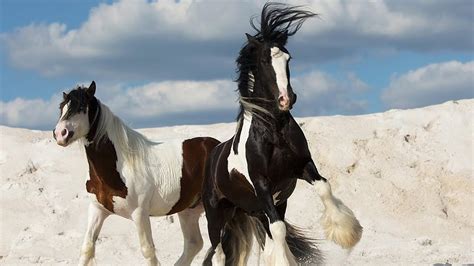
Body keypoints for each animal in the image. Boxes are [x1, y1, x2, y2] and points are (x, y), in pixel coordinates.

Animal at [53, 81, 220, 266]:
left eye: (82, 107)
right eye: (61, 107)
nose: (60, 134)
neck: (120, 166)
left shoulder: (140, 214)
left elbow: (148, 251)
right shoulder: (97, 210)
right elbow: (87, 248)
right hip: (189, 211)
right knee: (194, 244)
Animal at [202, 3, 362, 264]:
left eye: (288, 57)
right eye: (264, 60)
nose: (287, 99)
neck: (273, 132)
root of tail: (212, 156)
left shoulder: (303, 166)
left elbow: (324, 188)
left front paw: (347, 234)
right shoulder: (261, 185)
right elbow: (278, 229)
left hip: (256, 210)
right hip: (217, 215)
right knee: (217, 251)